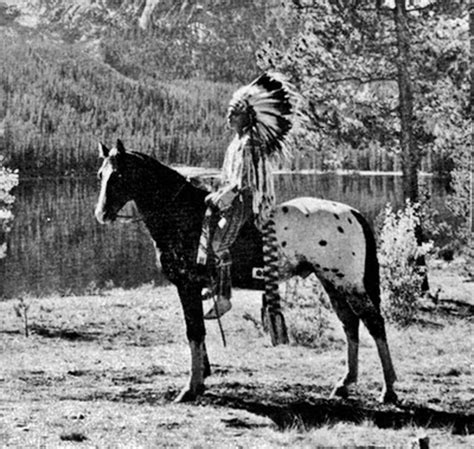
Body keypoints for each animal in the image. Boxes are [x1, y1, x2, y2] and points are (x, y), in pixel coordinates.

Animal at [94, 139, 398, 402]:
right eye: (100, 174)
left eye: (118, 175)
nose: (102, 214)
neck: (183, 216)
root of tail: (352, 213)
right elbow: (198, 331)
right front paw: (201, 379)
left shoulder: (187, 285)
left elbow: (194, 331)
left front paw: (190, 389)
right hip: (331, 282)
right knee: (350, 324)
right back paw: (345, 383)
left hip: (349, 283)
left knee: (374, 323)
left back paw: (388, 390)